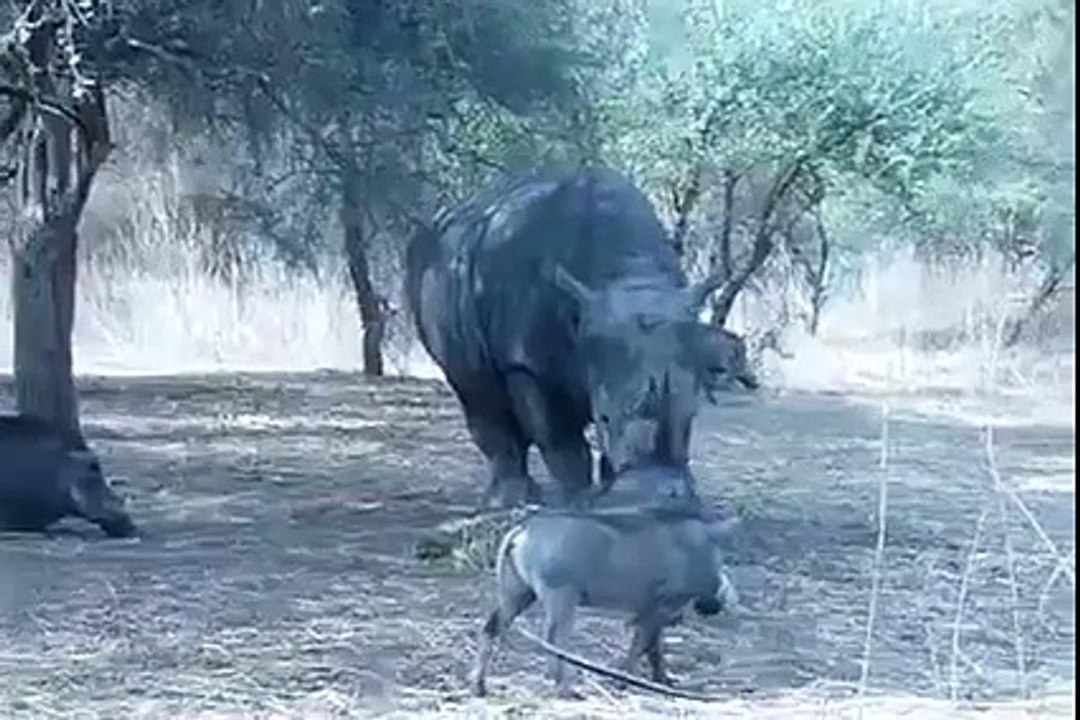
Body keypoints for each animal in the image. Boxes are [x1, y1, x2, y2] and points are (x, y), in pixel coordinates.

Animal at [405, 165, 756, 509]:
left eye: (692, 414)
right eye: (602, 418)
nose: (658, 502)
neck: (628, 274)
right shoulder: (526, 363)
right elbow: (559, 437)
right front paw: (578, 500)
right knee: (474, 388)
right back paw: (509, 501)